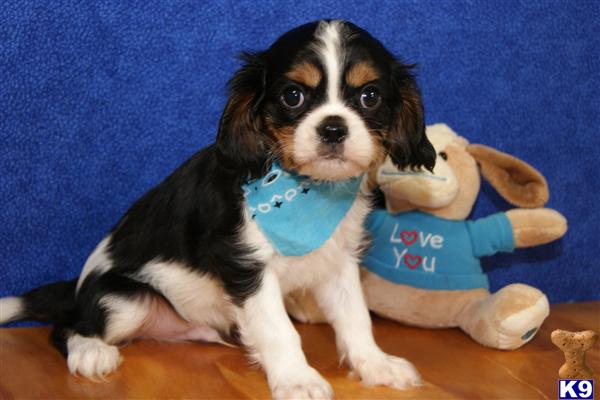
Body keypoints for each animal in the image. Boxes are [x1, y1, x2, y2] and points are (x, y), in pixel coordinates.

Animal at [0, 20, 434, 398]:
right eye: (292, 96)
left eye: (369, 97)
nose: (332, 127)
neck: (305, 189)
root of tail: (77, 287)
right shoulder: (245, 266)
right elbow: (279, 328)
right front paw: (297, 379)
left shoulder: (338, 260)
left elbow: (355, 316)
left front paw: (375, 364)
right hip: (124, 301)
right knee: (66, 327)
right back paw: (90, 351)